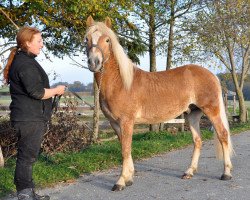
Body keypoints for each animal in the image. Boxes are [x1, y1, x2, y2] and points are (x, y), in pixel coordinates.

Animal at [84, 15, 234, 191]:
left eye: (107, 40)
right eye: (86, 39)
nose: (94, 62)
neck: (120, 83)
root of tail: (212, 75)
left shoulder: (126, 122)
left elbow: (125, 150)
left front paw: (120, 181)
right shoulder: (115, 123)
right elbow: (125, 148)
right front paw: (129, 178)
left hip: (212, 110)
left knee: (223, 135)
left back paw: (226, 173)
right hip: (192, 114)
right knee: (197, 140)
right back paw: (189, 172)